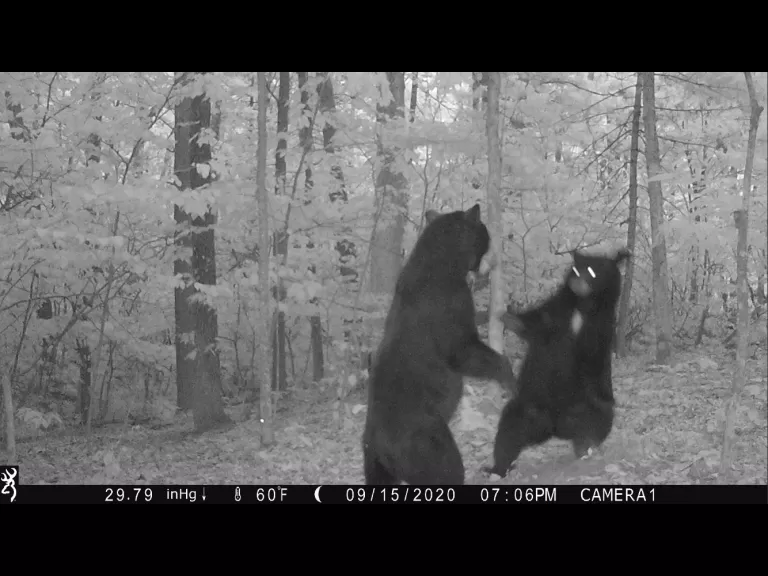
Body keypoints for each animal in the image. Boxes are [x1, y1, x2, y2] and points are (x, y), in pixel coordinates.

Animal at [363, 204, 517, 485]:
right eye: (485, 237)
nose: (490, 263)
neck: (444, 262)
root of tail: (379, 445)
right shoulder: (449, 307)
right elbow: (464, 349)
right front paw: (510, 379)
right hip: (427, 442)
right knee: (447, 470)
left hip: (375, 464)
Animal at [485, 248, 630, 478]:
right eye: (575, 270)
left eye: (591, 271)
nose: (577, 282)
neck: (582, 306)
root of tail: (556, 427)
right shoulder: (557, 312)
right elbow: (537, 322)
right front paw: (506, 315)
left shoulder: (600, 326)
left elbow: (589, 351)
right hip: (527, 407)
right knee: (508, 432)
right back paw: (497, 468)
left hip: (594, 403)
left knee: (599, 422)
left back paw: (585, 446)